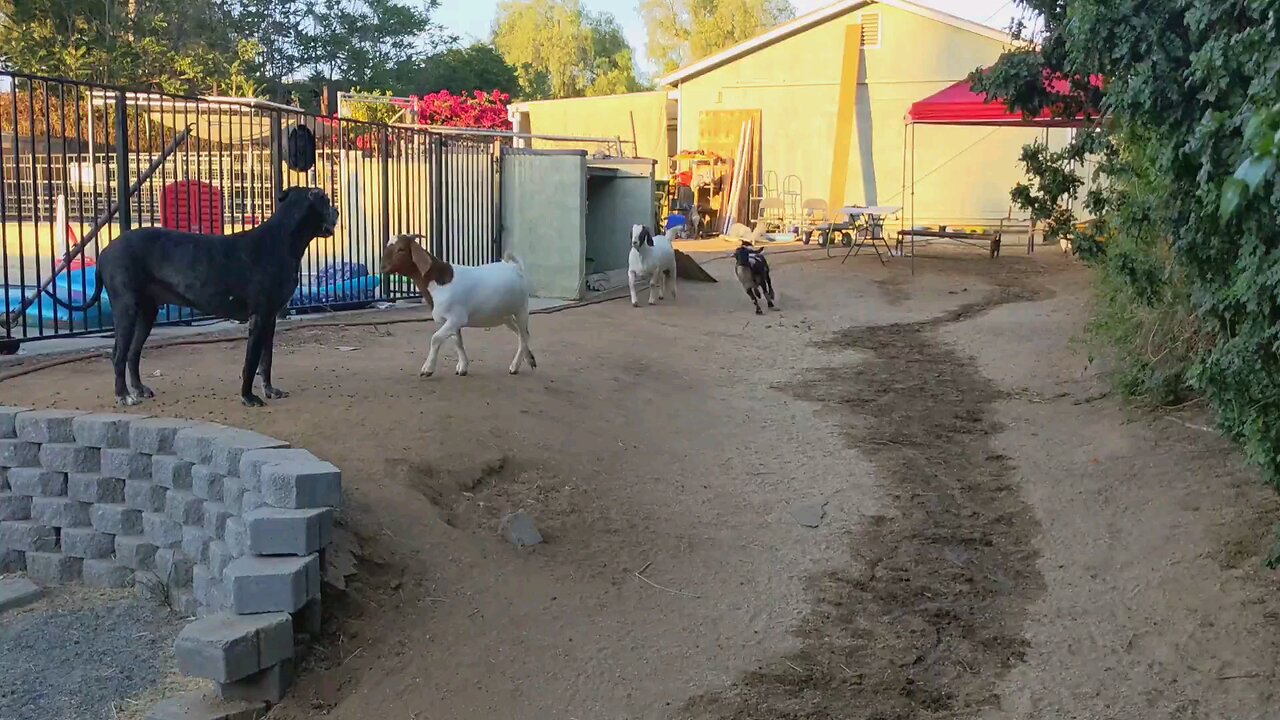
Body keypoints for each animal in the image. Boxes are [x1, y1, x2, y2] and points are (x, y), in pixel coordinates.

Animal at [61, 188, 337, 407]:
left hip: (147, 313)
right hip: (126, 308)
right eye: (325, 199)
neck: (282, 239)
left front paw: (269, 390)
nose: (336, 211)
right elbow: (250, 363)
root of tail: (106, 251)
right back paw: (123, 395)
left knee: (133, 353)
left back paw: (138, 389)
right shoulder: (258, 318)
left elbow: (265, 360)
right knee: (118, 354)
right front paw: (248, 397)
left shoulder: (270, 319)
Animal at [384, 234, 535, 376]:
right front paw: (463, 367)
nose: (382, 266)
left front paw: (428, 369)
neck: (438, 283)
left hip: (522, 309)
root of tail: (515, 267)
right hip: (504, 315)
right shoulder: (449, 321)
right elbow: (457, 342)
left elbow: (435, 338)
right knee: (520, 333)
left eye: (401, 249)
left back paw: (515, 366)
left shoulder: (456, 318)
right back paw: (529, 359)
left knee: (524, 335)